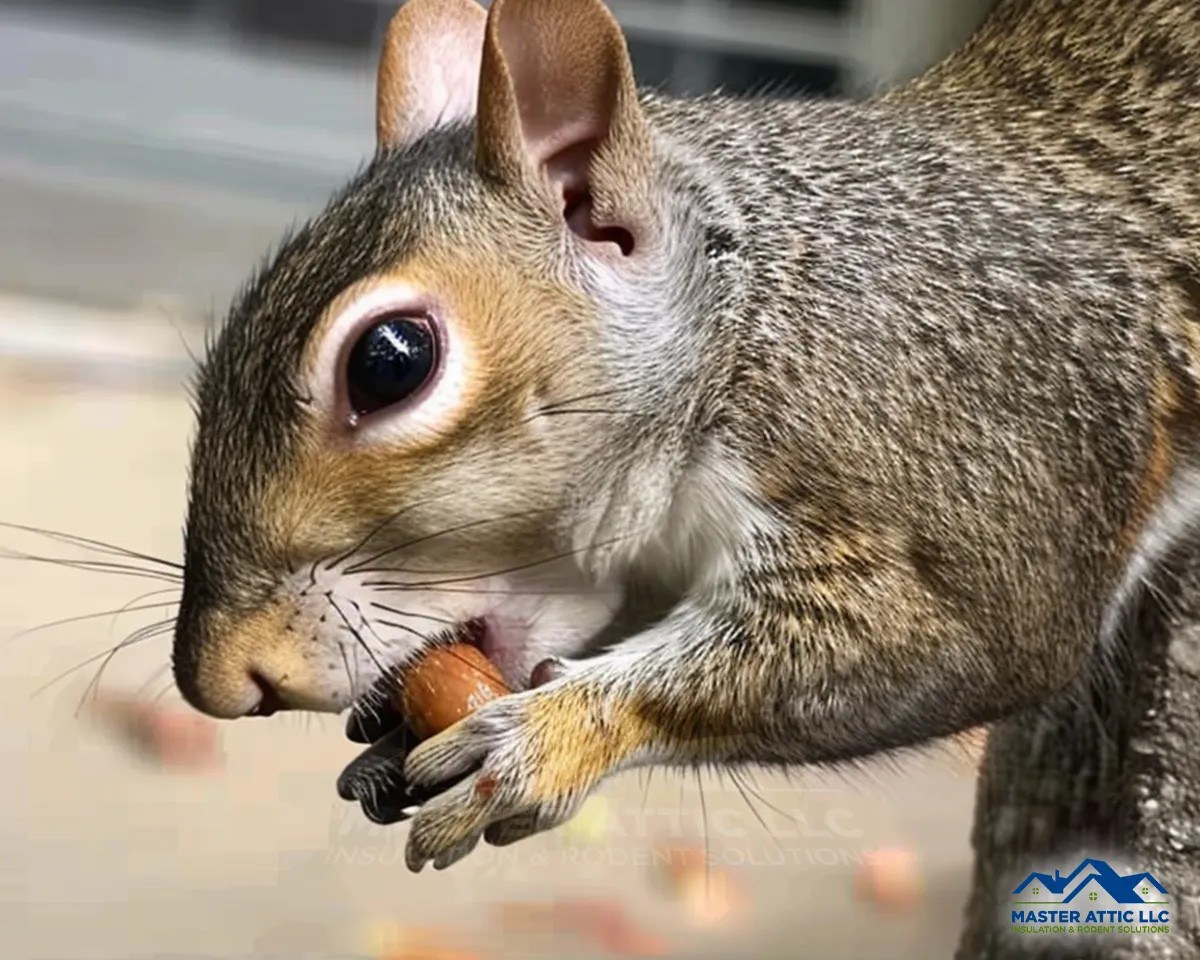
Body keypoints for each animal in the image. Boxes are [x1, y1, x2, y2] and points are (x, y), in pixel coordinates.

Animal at [171, 0, 1200, 875]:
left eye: (390, 361)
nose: (216, 683)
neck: (748, 316)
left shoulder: (963, 451)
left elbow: (962, 636)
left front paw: (547, 739)